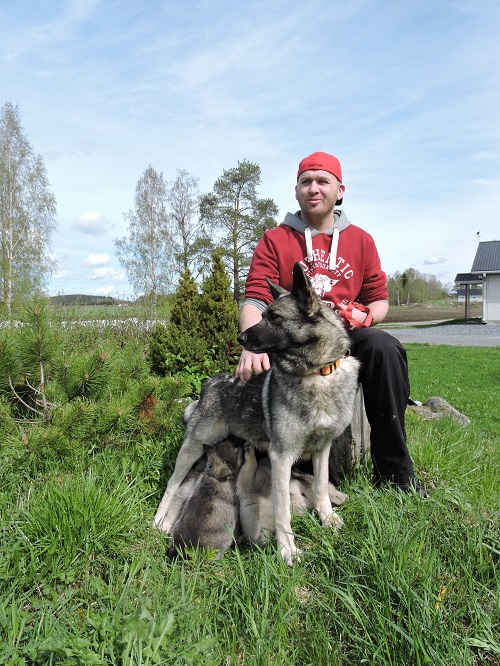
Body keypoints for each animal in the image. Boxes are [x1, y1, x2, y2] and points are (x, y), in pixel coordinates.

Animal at [153, 262, 360, 564]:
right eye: (262, 315)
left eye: (274, 317)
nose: (239, 337)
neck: (316, 374)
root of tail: (210, 382)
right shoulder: (281, 457)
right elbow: (282, 510)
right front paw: (287, 549)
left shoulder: (322, 449)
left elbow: (321, 487)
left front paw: (327, 518)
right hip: (190, 450)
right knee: (171, 484)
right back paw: (158, 520)